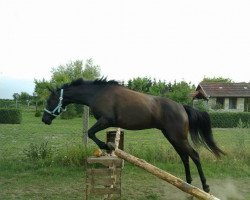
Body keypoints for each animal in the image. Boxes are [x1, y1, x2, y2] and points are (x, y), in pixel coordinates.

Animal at [42, 77, 226, 192]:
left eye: (49, 101)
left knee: (194, 155)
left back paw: (205, 186)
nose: (44, 119)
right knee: (185, 157)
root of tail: (182, 107)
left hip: (177, 137)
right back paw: (187, 183)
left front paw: (107, 145)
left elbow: (91, 132)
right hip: (172, 137)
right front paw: (108, 146)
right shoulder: (106, 122)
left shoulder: (106, 120)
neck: (97, 93)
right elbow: (91, 133)